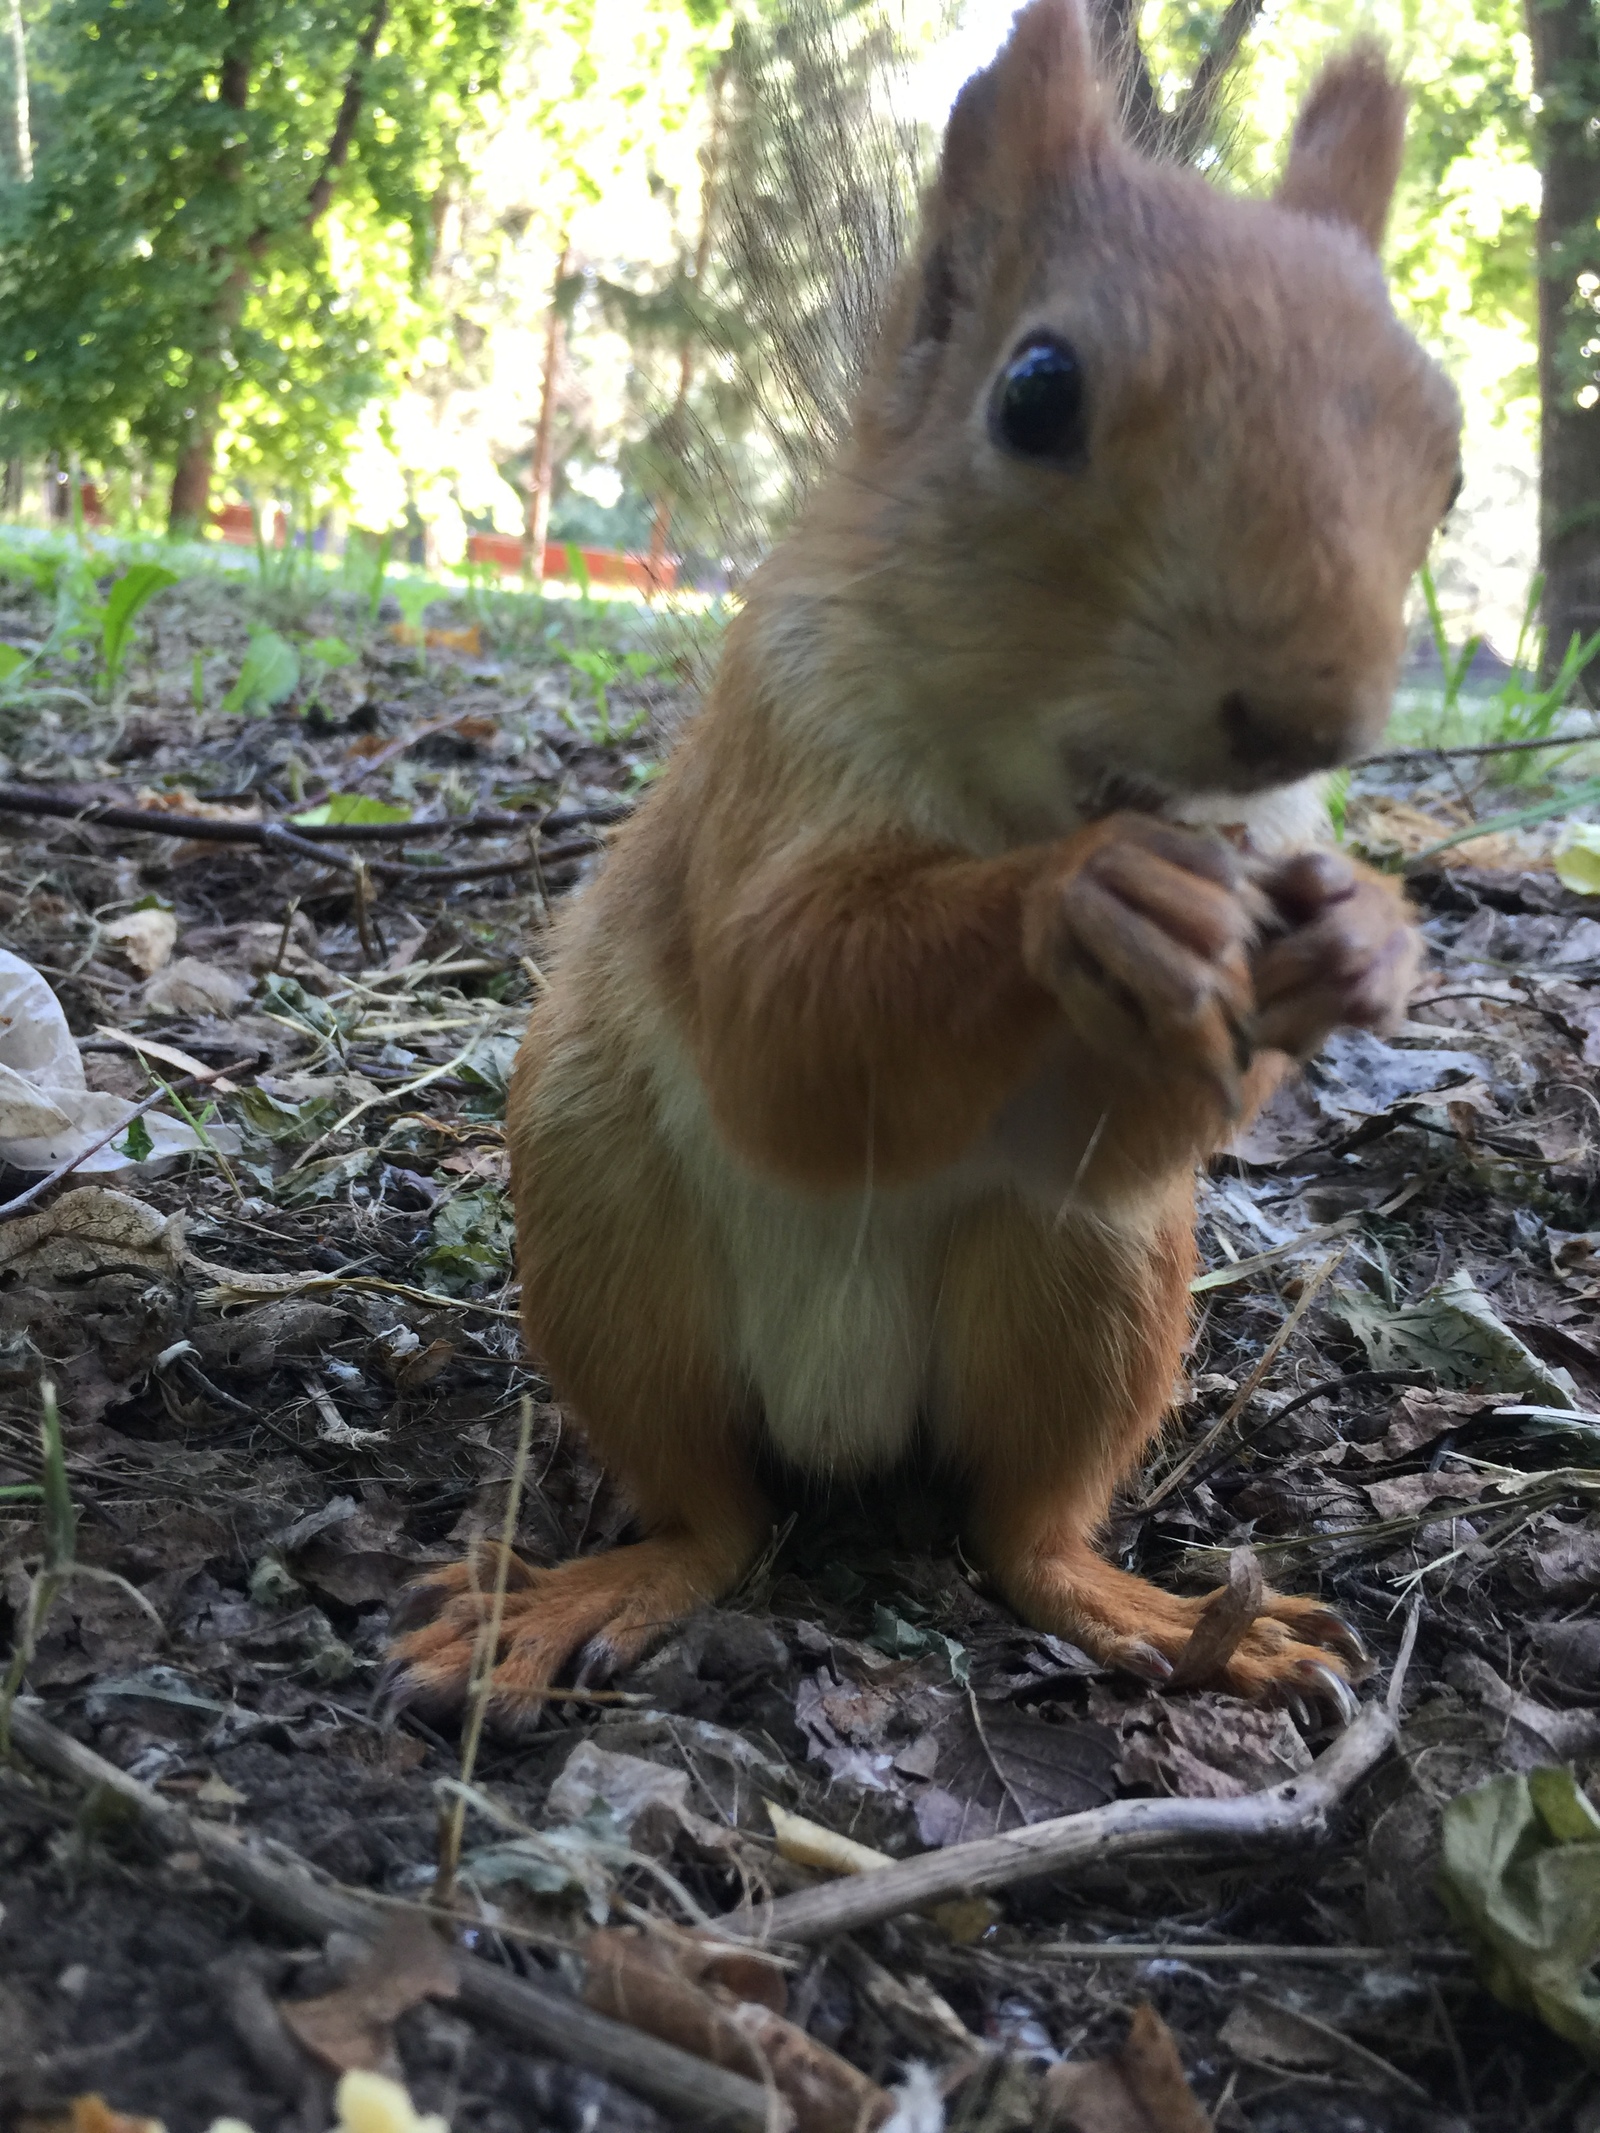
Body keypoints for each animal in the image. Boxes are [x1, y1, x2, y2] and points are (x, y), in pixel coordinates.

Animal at [392, 0, 1467, 1714]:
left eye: (1450, 464)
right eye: (1034, 393)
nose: (1307, 714)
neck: (1029, 789)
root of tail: (840, 1426)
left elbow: (1143, 1117)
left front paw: (1368, 937)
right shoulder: (775, 736)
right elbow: (787, 1018)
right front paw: (1092, 897)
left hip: (1096, 1289)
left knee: (1022, 1520)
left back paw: (1160, 1614)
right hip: (603, 1228)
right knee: (707, 1504)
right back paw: (587, 1590)